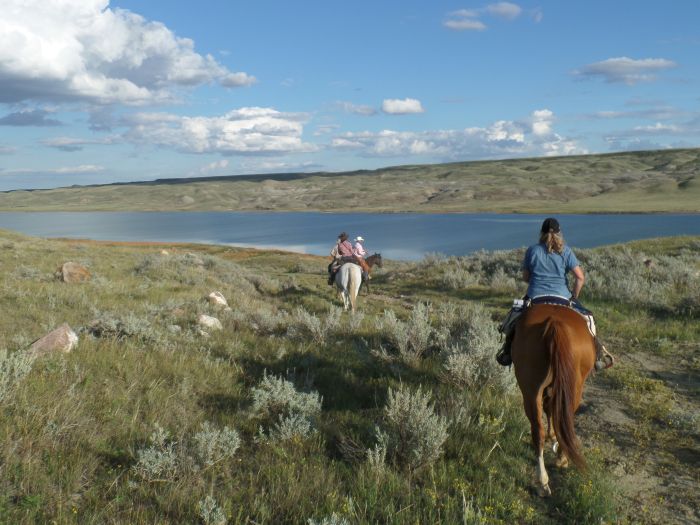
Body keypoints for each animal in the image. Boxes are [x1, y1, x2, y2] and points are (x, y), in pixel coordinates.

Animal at [512, 302, 592, 496]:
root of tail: (554, 323)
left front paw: (551, 436)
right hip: (572, 387)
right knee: (561, 420)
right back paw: (556, 465)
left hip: (532, 388)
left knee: (538, 429)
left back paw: (543, 481)